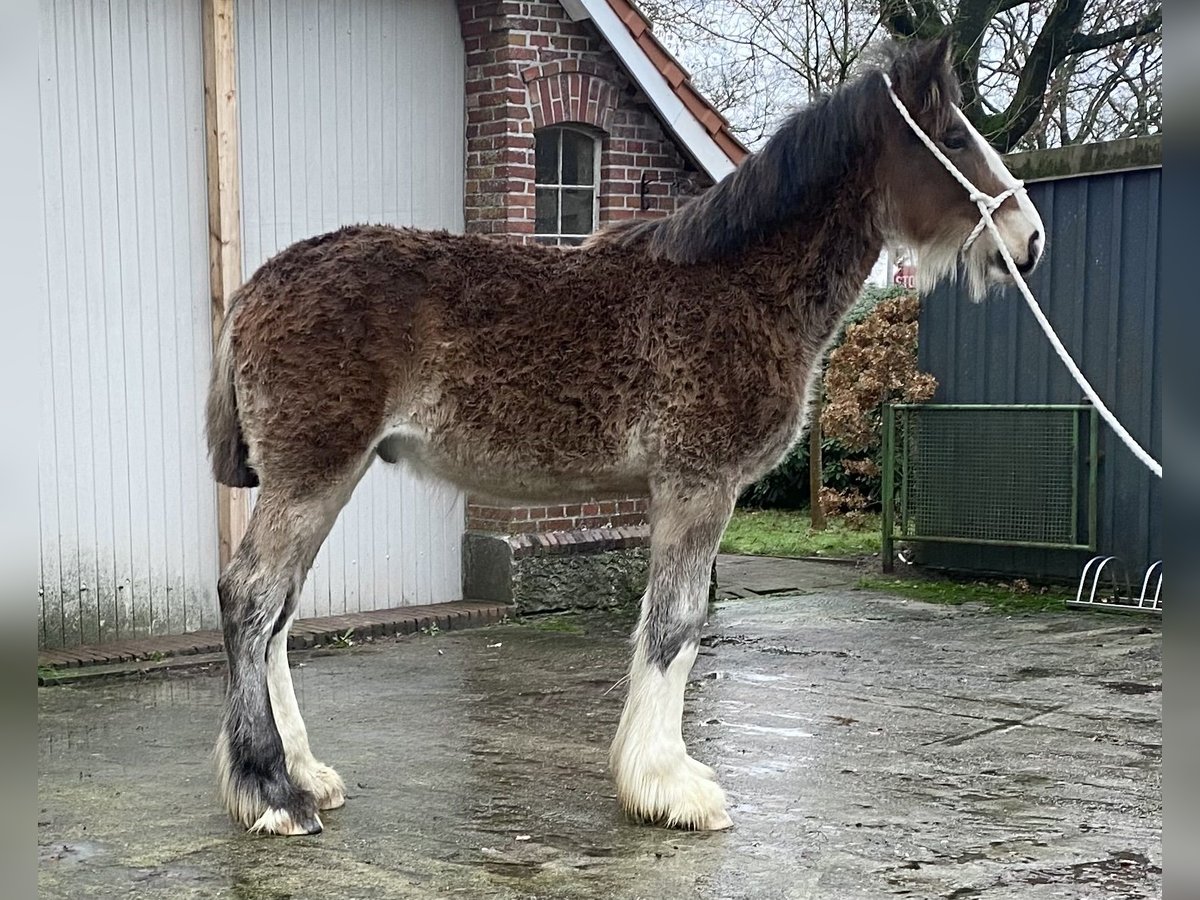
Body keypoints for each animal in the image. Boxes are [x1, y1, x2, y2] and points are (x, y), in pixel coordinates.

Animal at [205, 35, 1044, 836]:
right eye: (955, 138)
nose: (1028, 238)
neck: (742, 284)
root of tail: (255, 290)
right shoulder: (698, 487)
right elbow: (676, 625)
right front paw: (668, 787)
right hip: (312, 476)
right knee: (250, 598)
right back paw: (272, 790)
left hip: (326, 479)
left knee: (278, 616)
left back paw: (303, 770)